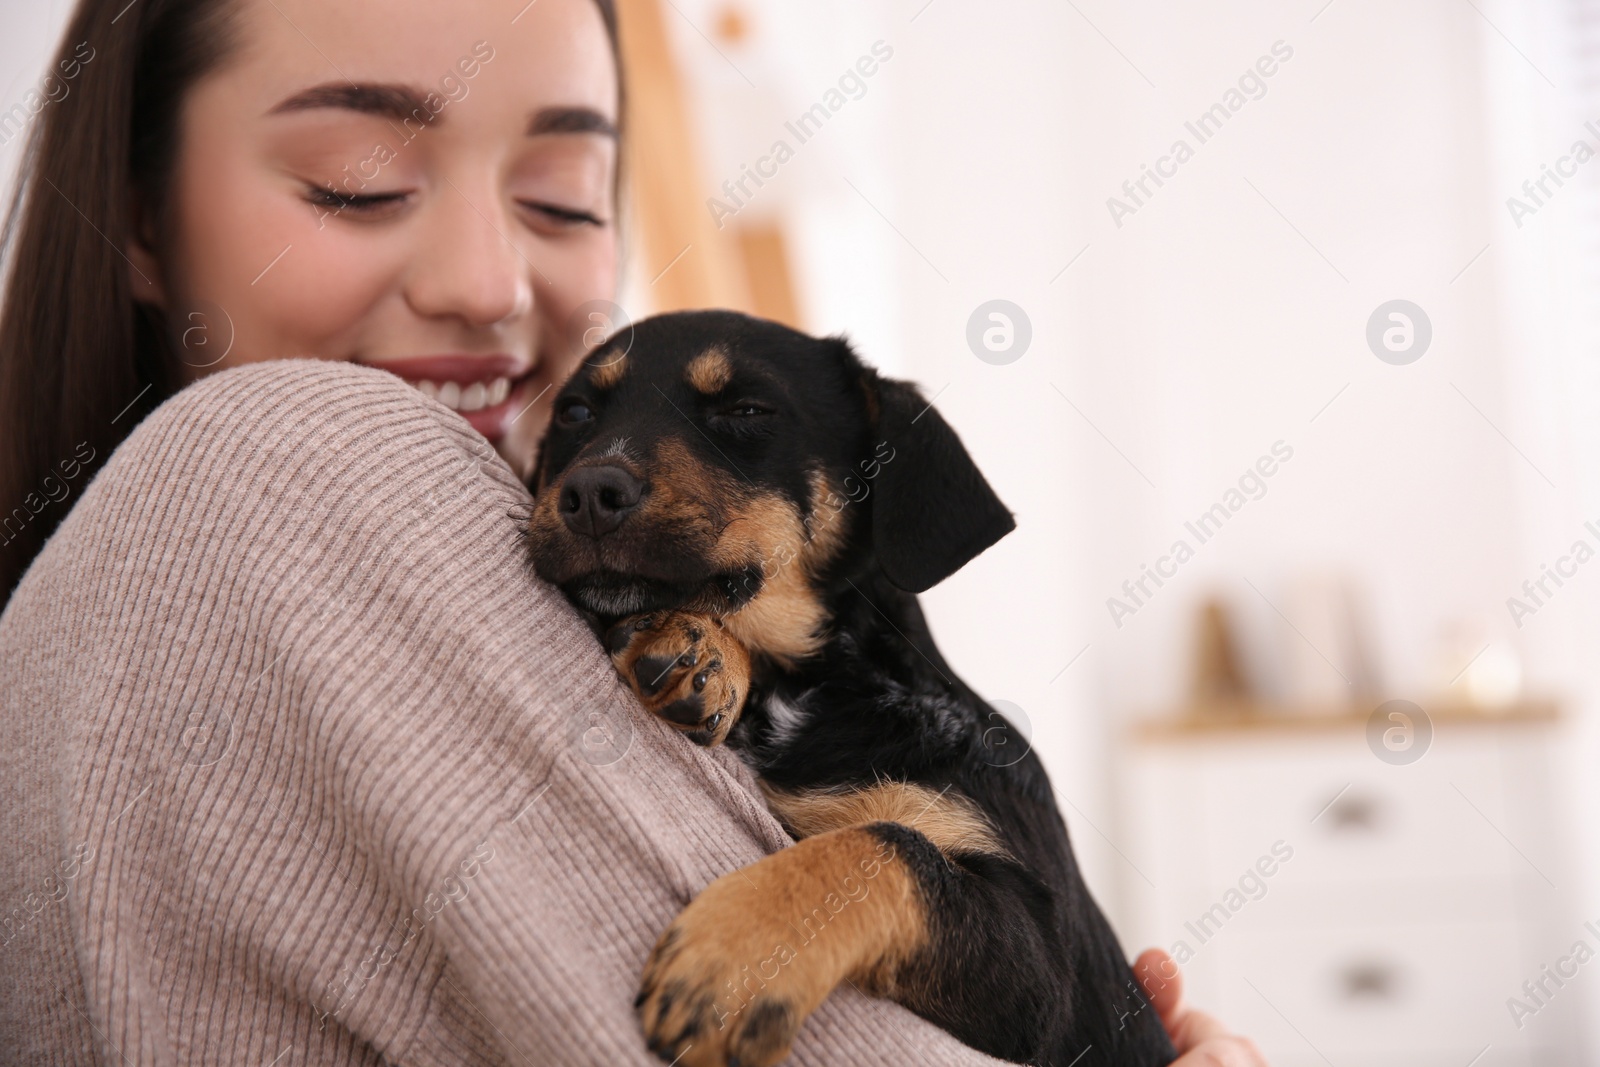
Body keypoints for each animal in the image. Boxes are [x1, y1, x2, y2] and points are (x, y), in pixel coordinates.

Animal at [524, 308, 1177, 1067]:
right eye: (574, 412)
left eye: (747, 410)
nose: (589, 494)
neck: (809, 696)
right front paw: (701, 649)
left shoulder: (1044, 979)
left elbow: (886, 844)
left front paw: (734, 956)